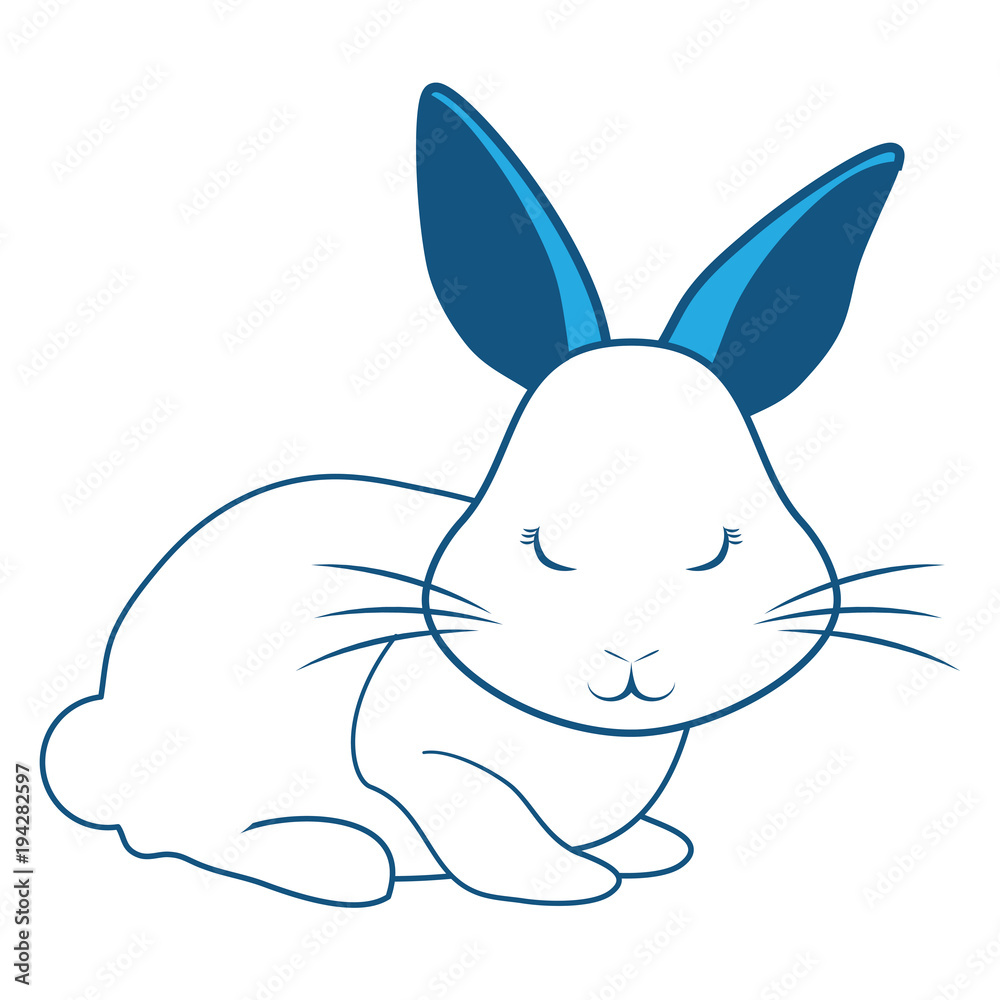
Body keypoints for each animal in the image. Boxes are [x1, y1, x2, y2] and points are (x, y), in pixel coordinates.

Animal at [41, 83, 945, 907]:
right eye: (541, 546)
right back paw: (339, 861)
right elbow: (492, 821)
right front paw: (569, 882)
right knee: (178, 831)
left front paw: (646, 849)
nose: (631, 652)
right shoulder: (424, 760)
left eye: (720, 548)